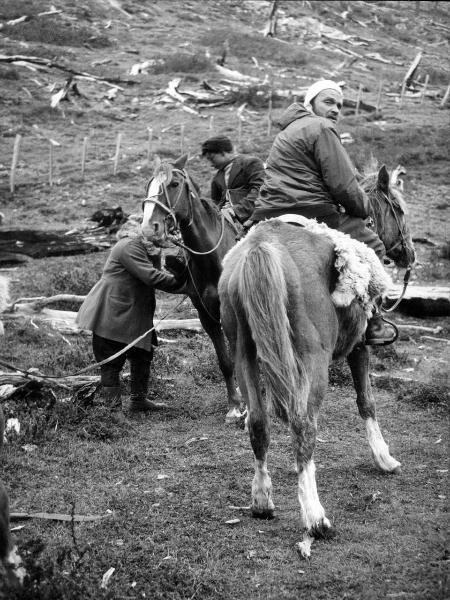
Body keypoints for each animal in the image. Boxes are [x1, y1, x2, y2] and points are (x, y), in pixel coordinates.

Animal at [142, 156, 243, 422]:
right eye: (148, 185)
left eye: (174, 184)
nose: (149, 228)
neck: (213, 258)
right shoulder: (206, 316)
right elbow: (225, 362)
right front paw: (235, 405)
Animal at [218, 165, 414, 556]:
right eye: (398, 208)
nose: (410, 254)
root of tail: (260, 247)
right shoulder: (359, 347)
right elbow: (366, 401)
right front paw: (384, 458)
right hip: (313, 361)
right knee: (303, 427)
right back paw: (316, 518)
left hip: (243, 352)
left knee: (258, 424)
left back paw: (262, 501)